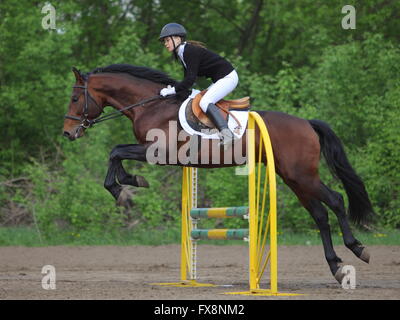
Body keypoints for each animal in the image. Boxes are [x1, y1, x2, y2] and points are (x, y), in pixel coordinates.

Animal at [63, 63, 376, 284]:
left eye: (76, 98)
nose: (68, 133)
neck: (150, 105)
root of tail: (307, 123)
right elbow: (116, 152)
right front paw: (129, 184)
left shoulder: (159, 152)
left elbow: (115, 152)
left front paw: (124, 188)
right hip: (294, 179)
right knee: (320, 214)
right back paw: (336, 266)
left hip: (303, 176)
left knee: (335, 200)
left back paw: (358, 249)